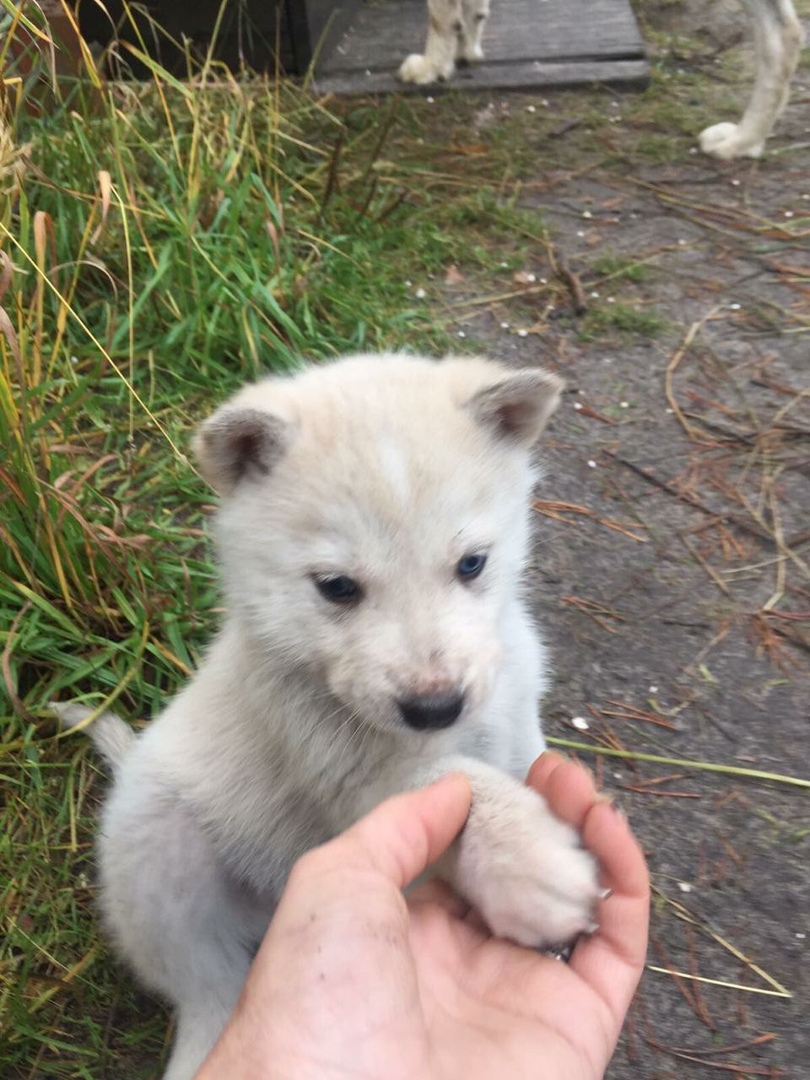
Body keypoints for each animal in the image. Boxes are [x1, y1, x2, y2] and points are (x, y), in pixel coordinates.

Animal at [57, 354, 604, 1080]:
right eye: (338, 587)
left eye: (472, 563)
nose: (435, 707)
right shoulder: (353, 778)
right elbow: (461, 784)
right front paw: (532, 865)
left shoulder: (516, 720)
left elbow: (512, 764)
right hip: (157, 855)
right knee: (205, 984)